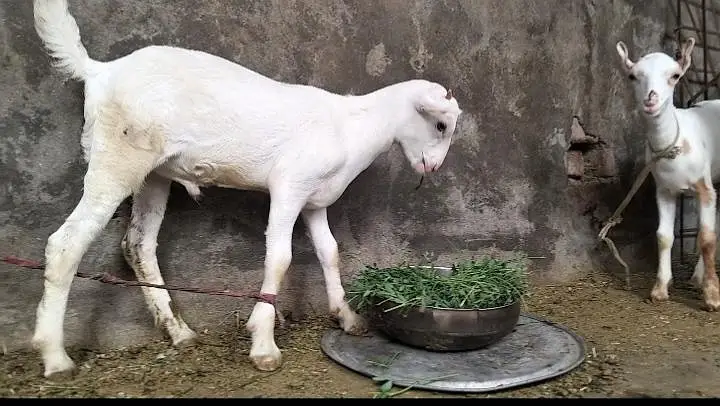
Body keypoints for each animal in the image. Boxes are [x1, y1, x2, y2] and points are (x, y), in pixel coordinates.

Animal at [31, 0, 462, 378]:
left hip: (153, 174)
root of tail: (99, 71)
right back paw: (55, 357)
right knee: (66, 243)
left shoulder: (315, 200)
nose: (433, 167)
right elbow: (280, 259)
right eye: (441, 125)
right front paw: (264, 344)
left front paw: (347, 317)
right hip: (116, 158)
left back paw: (178, 331)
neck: (352, 125)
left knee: (137, 244)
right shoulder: (289, 187)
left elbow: (330, 252)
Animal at [615, 37, 720, 311]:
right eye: (633, 76)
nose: (650, 101)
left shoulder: (704, 187)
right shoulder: (664, 189)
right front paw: (660, 289)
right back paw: (696, 277)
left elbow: (707, 238)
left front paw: (712, 297)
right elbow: (663, 236)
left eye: (675, 75)